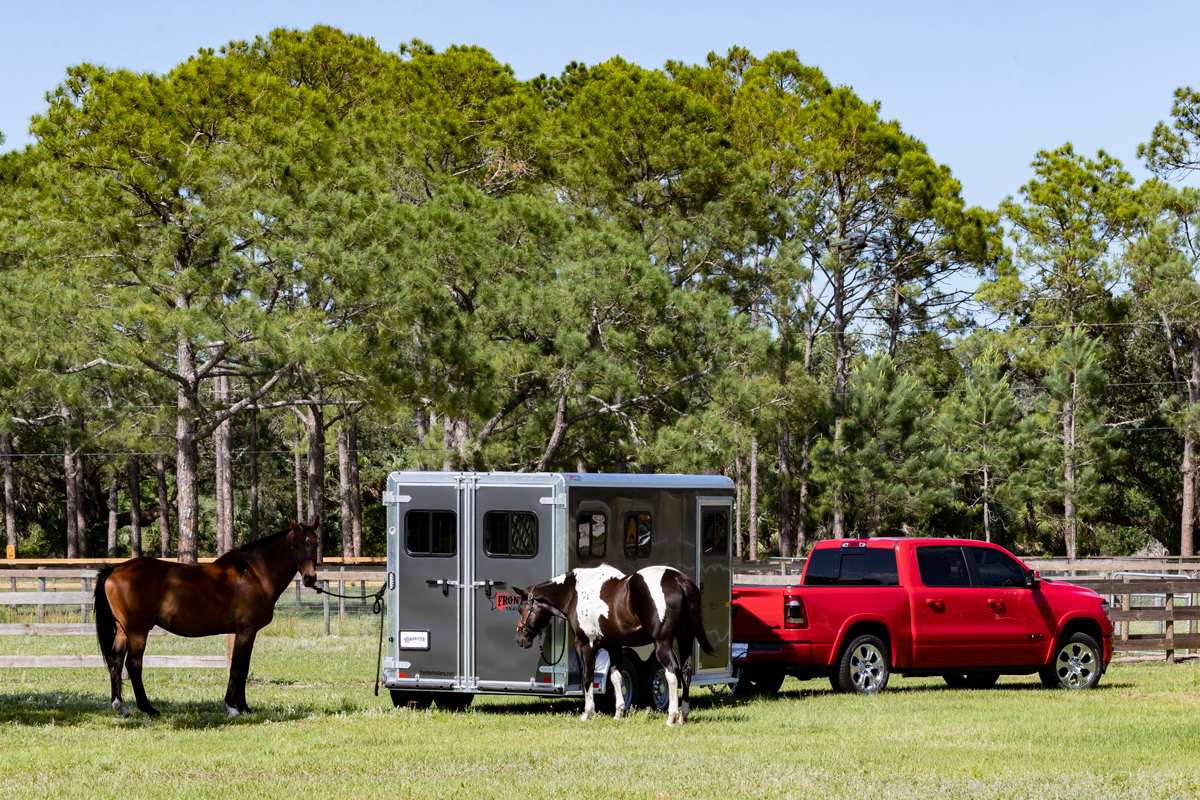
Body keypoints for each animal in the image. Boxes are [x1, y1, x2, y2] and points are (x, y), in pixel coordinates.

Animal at [92, 520, 319, 719]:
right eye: (296, 545)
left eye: (316, 544)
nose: (310, 578)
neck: (254, 573)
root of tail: (114, 569)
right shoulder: (245, 630)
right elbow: (237, 667)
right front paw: (232, 707)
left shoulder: (249, 632)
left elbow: (244, 668)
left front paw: (244, 706)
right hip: (138, 631)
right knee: (133, 664)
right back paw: (148, 709)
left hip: (123, 631)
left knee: (115, 661)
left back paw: (120, 707)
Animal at [513, 566, 710, 729]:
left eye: (521, 609)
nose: (519, 639)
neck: (574, 592)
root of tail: (677, 579)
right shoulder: (614, 646)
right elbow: (616, 677)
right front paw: (619, 713)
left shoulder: (585, 644)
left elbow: (588, 677)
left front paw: (587, 713)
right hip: (685, 639)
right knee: (685, 671)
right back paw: (683, 715)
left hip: (662, 643)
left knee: (672, 673)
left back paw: (671, 717)